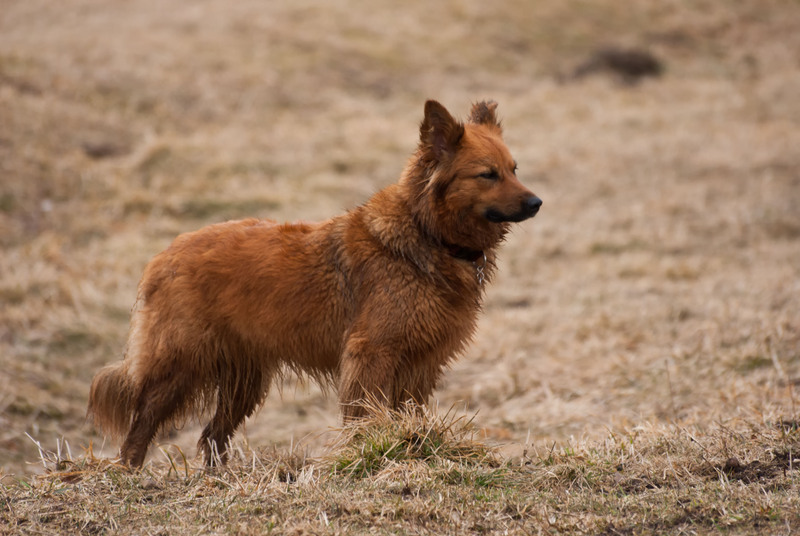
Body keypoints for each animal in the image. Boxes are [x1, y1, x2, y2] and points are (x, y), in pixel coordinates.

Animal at [87, 99, 544, 464]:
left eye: (514, 169)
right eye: (487, 175)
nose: (537, 202)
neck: (427, 233)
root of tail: (165, 254)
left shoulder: (421, 363)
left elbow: (407, 414)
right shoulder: (371, 355)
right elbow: (365, 417)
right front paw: (367, 453)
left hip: (243, 381)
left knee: (212, 436)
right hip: (179, 367)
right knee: (141, 427)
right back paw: (129, 474)